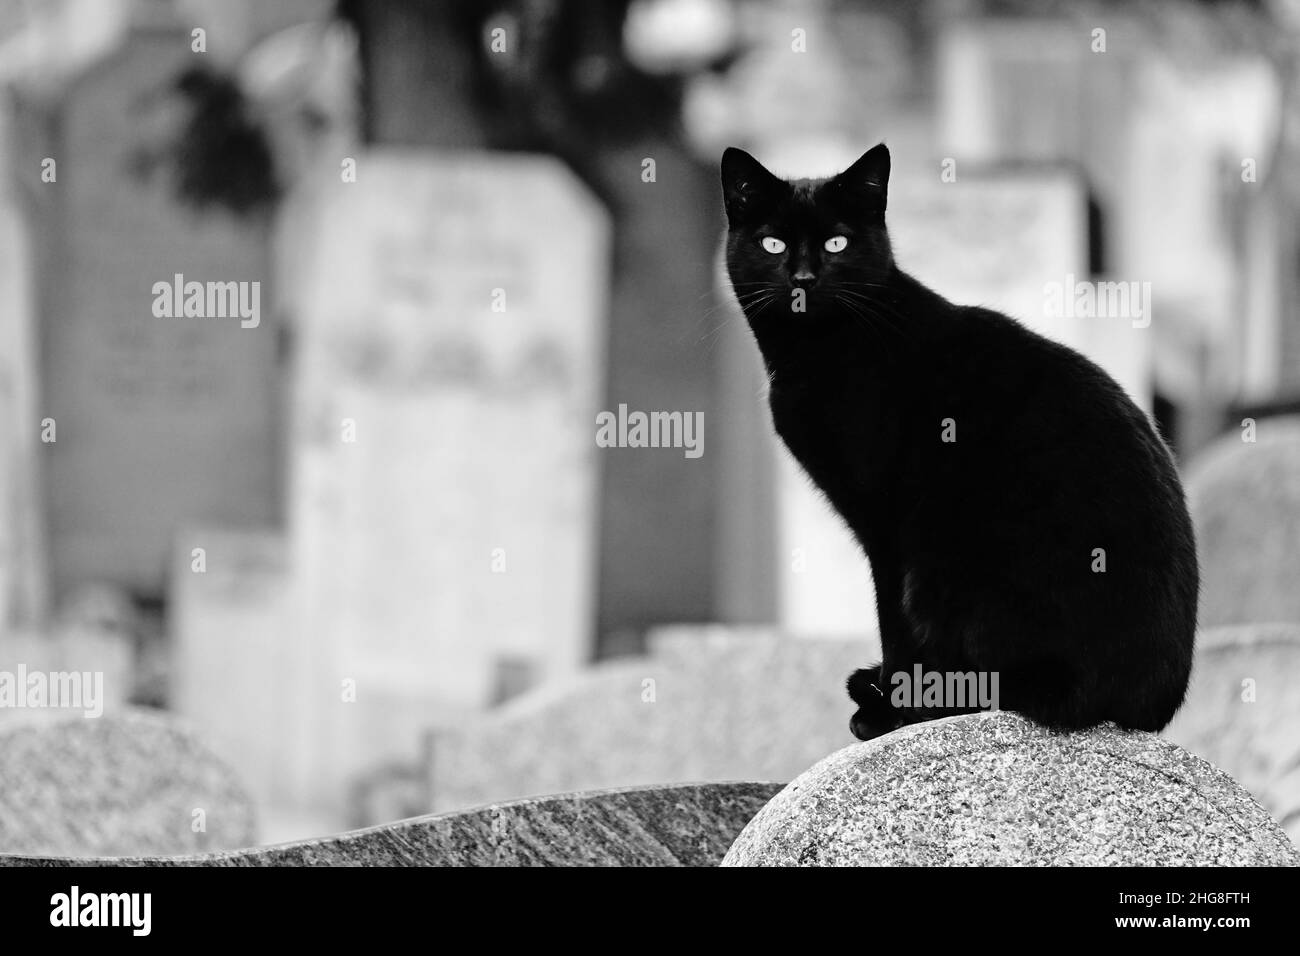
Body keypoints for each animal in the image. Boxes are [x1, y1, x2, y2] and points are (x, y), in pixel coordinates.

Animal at [722, 143, 1196, 738]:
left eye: (837, 243)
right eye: (773, 244)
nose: (804, 277)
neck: (818, 353)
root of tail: (1151, 708)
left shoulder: (889, 528)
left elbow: (893, 623)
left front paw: (894, 706)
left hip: (949, 573)